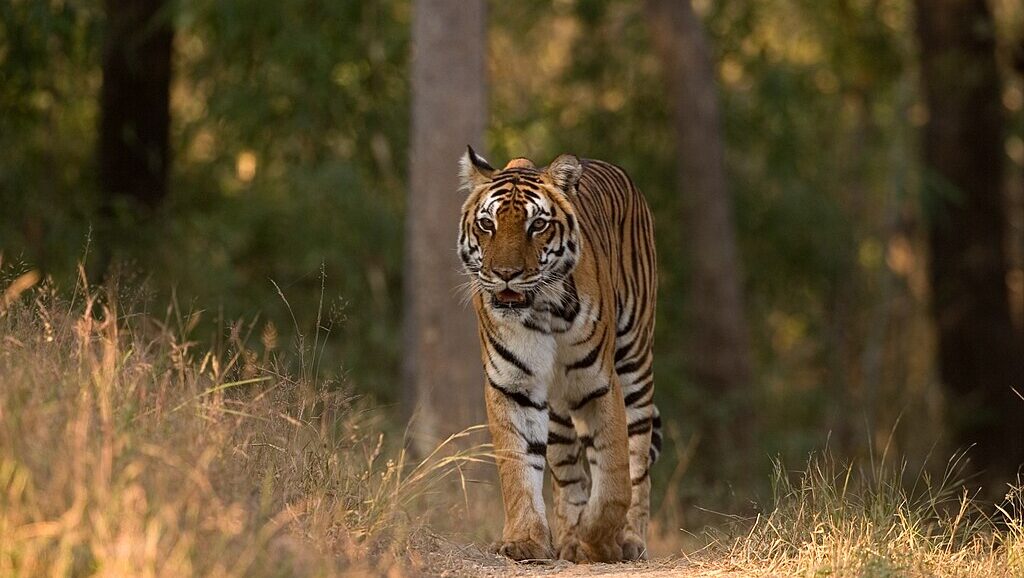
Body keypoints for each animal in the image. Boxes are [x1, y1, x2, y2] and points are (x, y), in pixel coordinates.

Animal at [458, 146, 663, 561]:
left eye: (537, 225)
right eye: (487, 224)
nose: (505, 274)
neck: (541, 309)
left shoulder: (598, 381)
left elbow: (614, 474)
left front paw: (599, 541)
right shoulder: (514, 385)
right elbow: (518, 465)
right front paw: (525, 541)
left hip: (635, 361)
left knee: (636, 459)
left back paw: (628, 539)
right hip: (556, 409)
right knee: (568, 472)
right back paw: (568, 540)